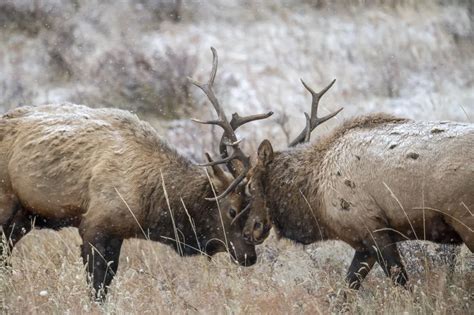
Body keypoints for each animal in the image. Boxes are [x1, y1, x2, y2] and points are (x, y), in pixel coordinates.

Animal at [0, 48, 270, 302]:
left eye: (251, 209)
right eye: (232, 210)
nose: (249, 256)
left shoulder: (116, 233)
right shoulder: (95, 224)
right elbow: (97, 287)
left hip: (24, 218)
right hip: (6, 203)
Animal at [243, 80, 472, 290]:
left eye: (249, 184)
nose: (248, 231)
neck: (314, 196)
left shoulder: (371, 227)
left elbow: (402, 282)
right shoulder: (362, 242)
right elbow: (346, 288)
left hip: (466, 220)